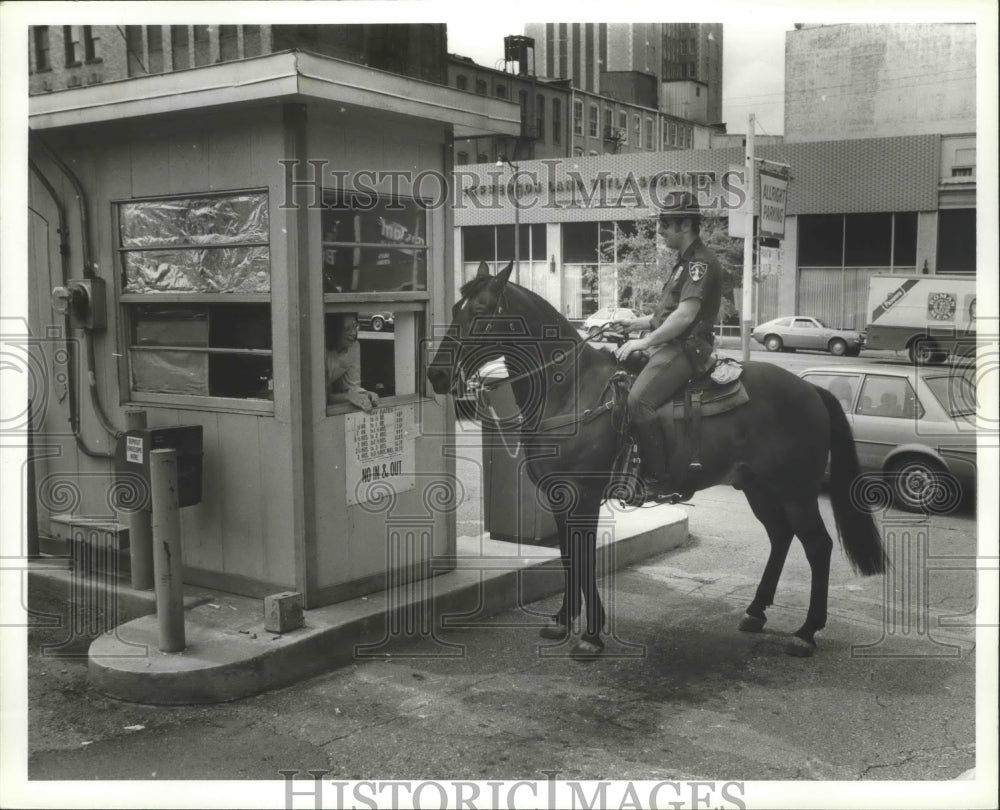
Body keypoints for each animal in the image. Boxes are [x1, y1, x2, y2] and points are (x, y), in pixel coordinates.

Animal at [426, 266, 888, 656]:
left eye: (480, 312)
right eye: (454, 309)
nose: (435, 375)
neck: (570, 389)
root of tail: (812, 390)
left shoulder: (584, 497)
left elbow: (585, 557)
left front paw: (592, 635)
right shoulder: (558, 498)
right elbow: (569, 557)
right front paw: (562, 621)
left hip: (796, 491)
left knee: (818, 546)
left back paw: (807, 632)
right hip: (758, 487)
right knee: (780, 537)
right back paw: (756, 611)